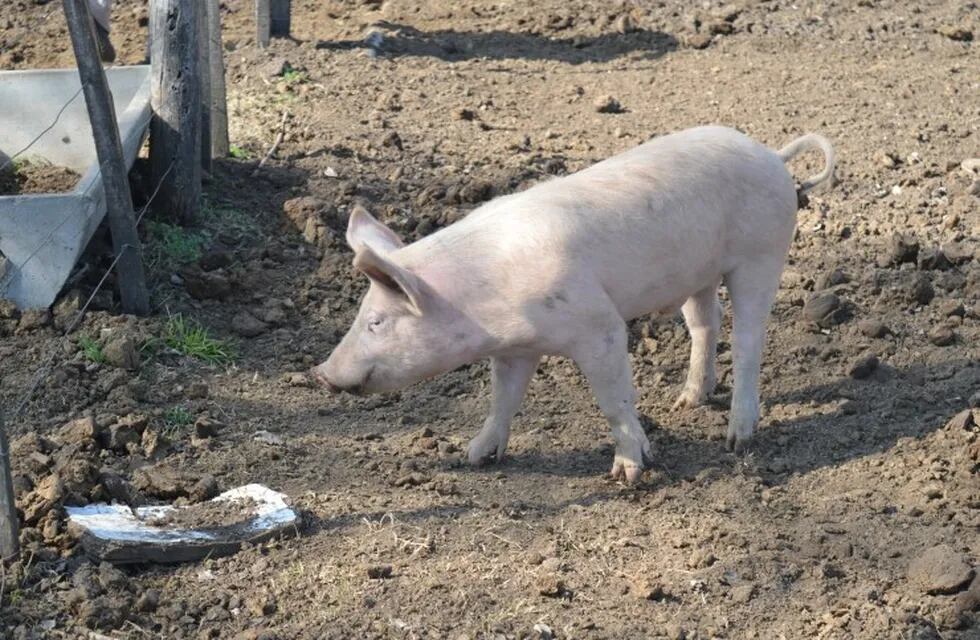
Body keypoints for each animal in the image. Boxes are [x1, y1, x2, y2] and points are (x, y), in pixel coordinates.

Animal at [314, 125, 836, 482]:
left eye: (377, 322)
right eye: (362, 316)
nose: (321, 373)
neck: (482, 300)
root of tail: (771, 154)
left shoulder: (598, 326)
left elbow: (614, 400)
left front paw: (628, 473)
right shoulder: (514, 349)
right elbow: (503, 399)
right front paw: (476, 455)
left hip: (760, 254)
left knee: (749, 339)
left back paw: (736, 438)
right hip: (699, 272)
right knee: (706, 322)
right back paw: (687, 400)